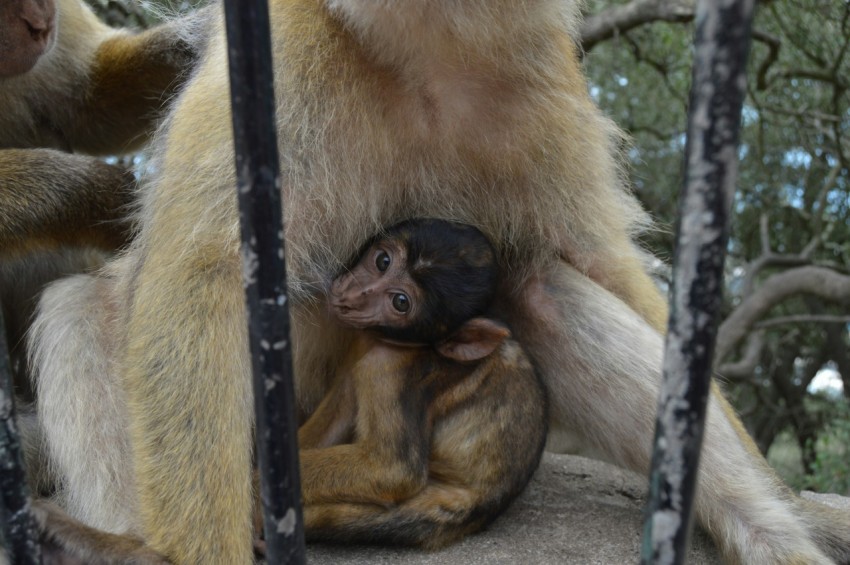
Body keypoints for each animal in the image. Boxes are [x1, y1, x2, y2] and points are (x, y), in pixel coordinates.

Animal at [288, 219, 548, 548]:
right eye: (383, 262)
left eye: (400, 302)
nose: (354, 295)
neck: (418, 347)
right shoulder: (362, 346)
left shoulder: (385, 368)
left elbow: (392, 470)